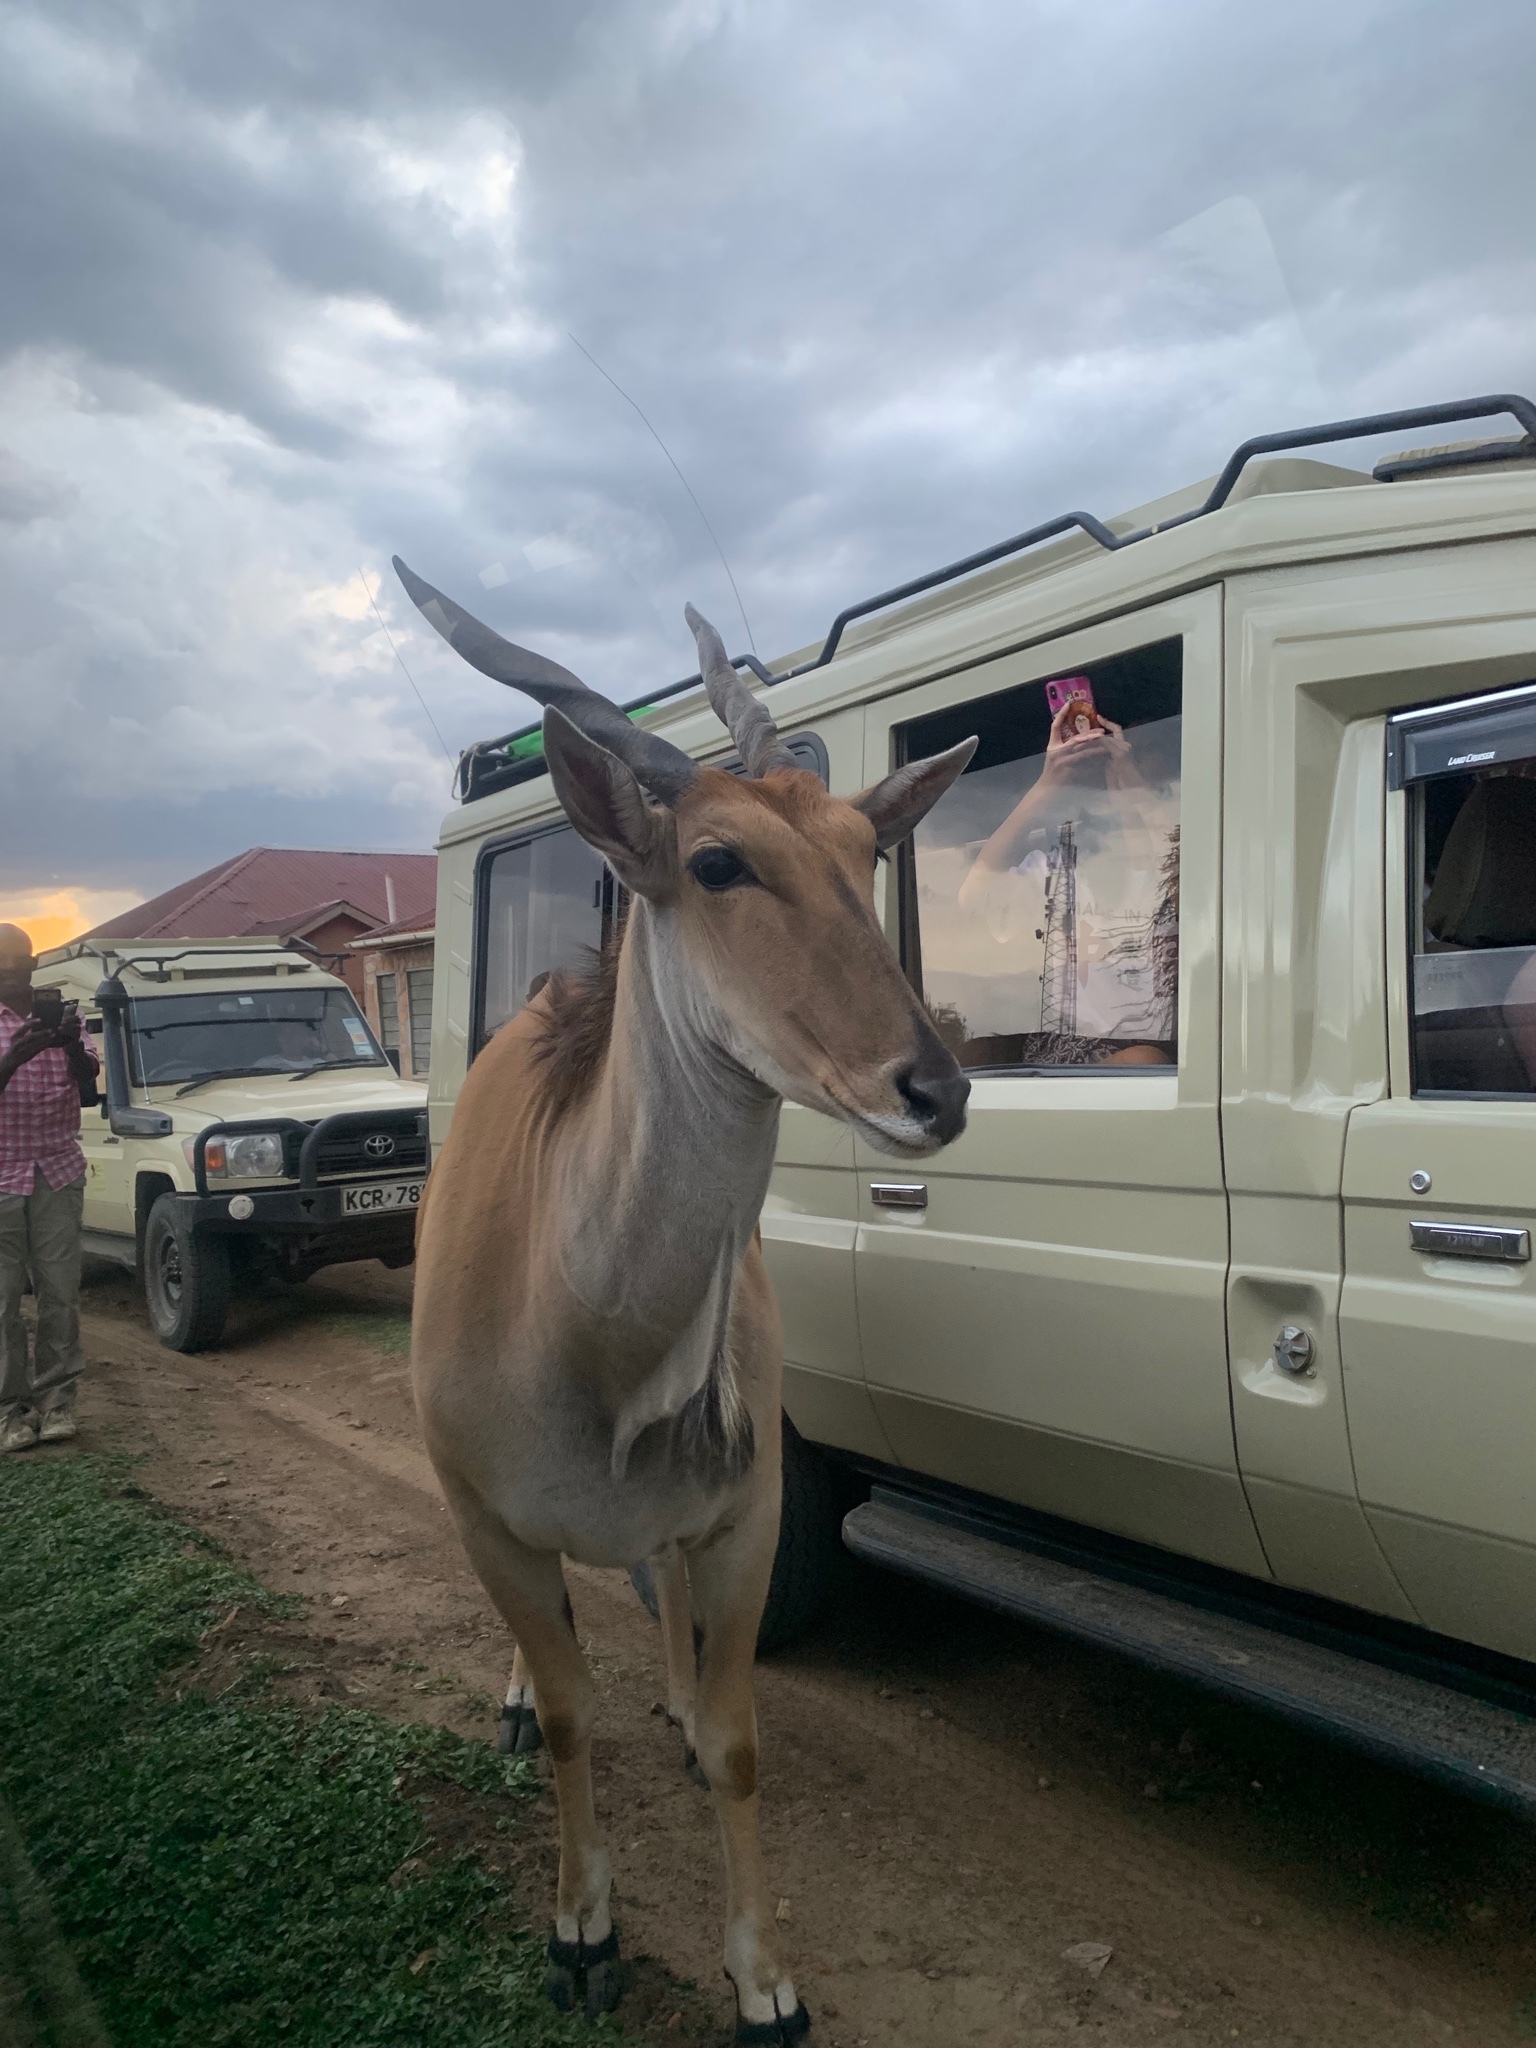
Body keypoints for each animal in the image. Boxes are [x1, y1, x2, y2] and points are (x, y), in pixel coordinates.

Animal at [397, 552, 974, 2039]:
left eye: (864, 849)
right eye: (718, 863)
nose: (935, 1086)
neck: (591, 1343)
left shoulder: (744, 1512)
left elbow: (735, 1742)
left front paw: (765, 1979)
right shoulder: (485, 1515)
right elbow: (570, 1708)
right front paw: (582, 1931)